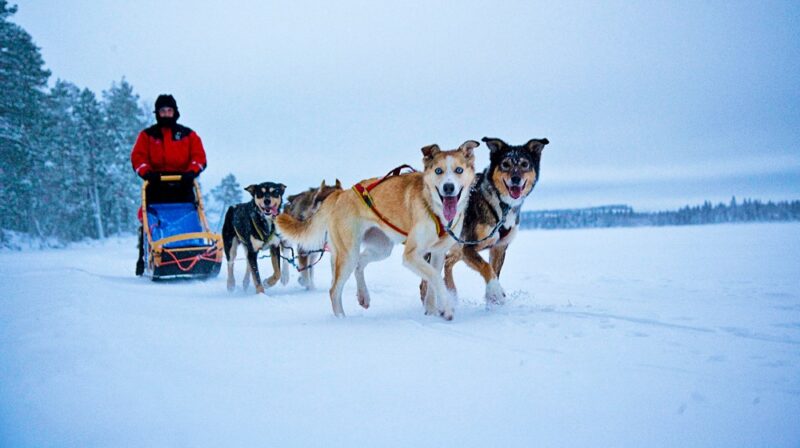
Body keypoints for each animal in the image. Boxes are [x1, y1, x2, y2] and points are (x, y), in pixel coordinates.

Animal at [276, 142, 476, 320]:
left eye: (458, 170)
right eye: (438, 171)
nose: (448, 187)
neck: (433, 207)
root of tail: (340, 194)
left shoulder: (438, 253)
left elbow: (433, 283)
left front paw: (432, 311)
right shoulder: (411, 255)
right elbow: (435, 277)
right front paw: (447, 308)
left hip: (381, 248)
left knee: (360, 263)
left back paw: (363, 295)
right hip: (348, 253)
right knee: (334, 290)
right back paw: (341, 319)